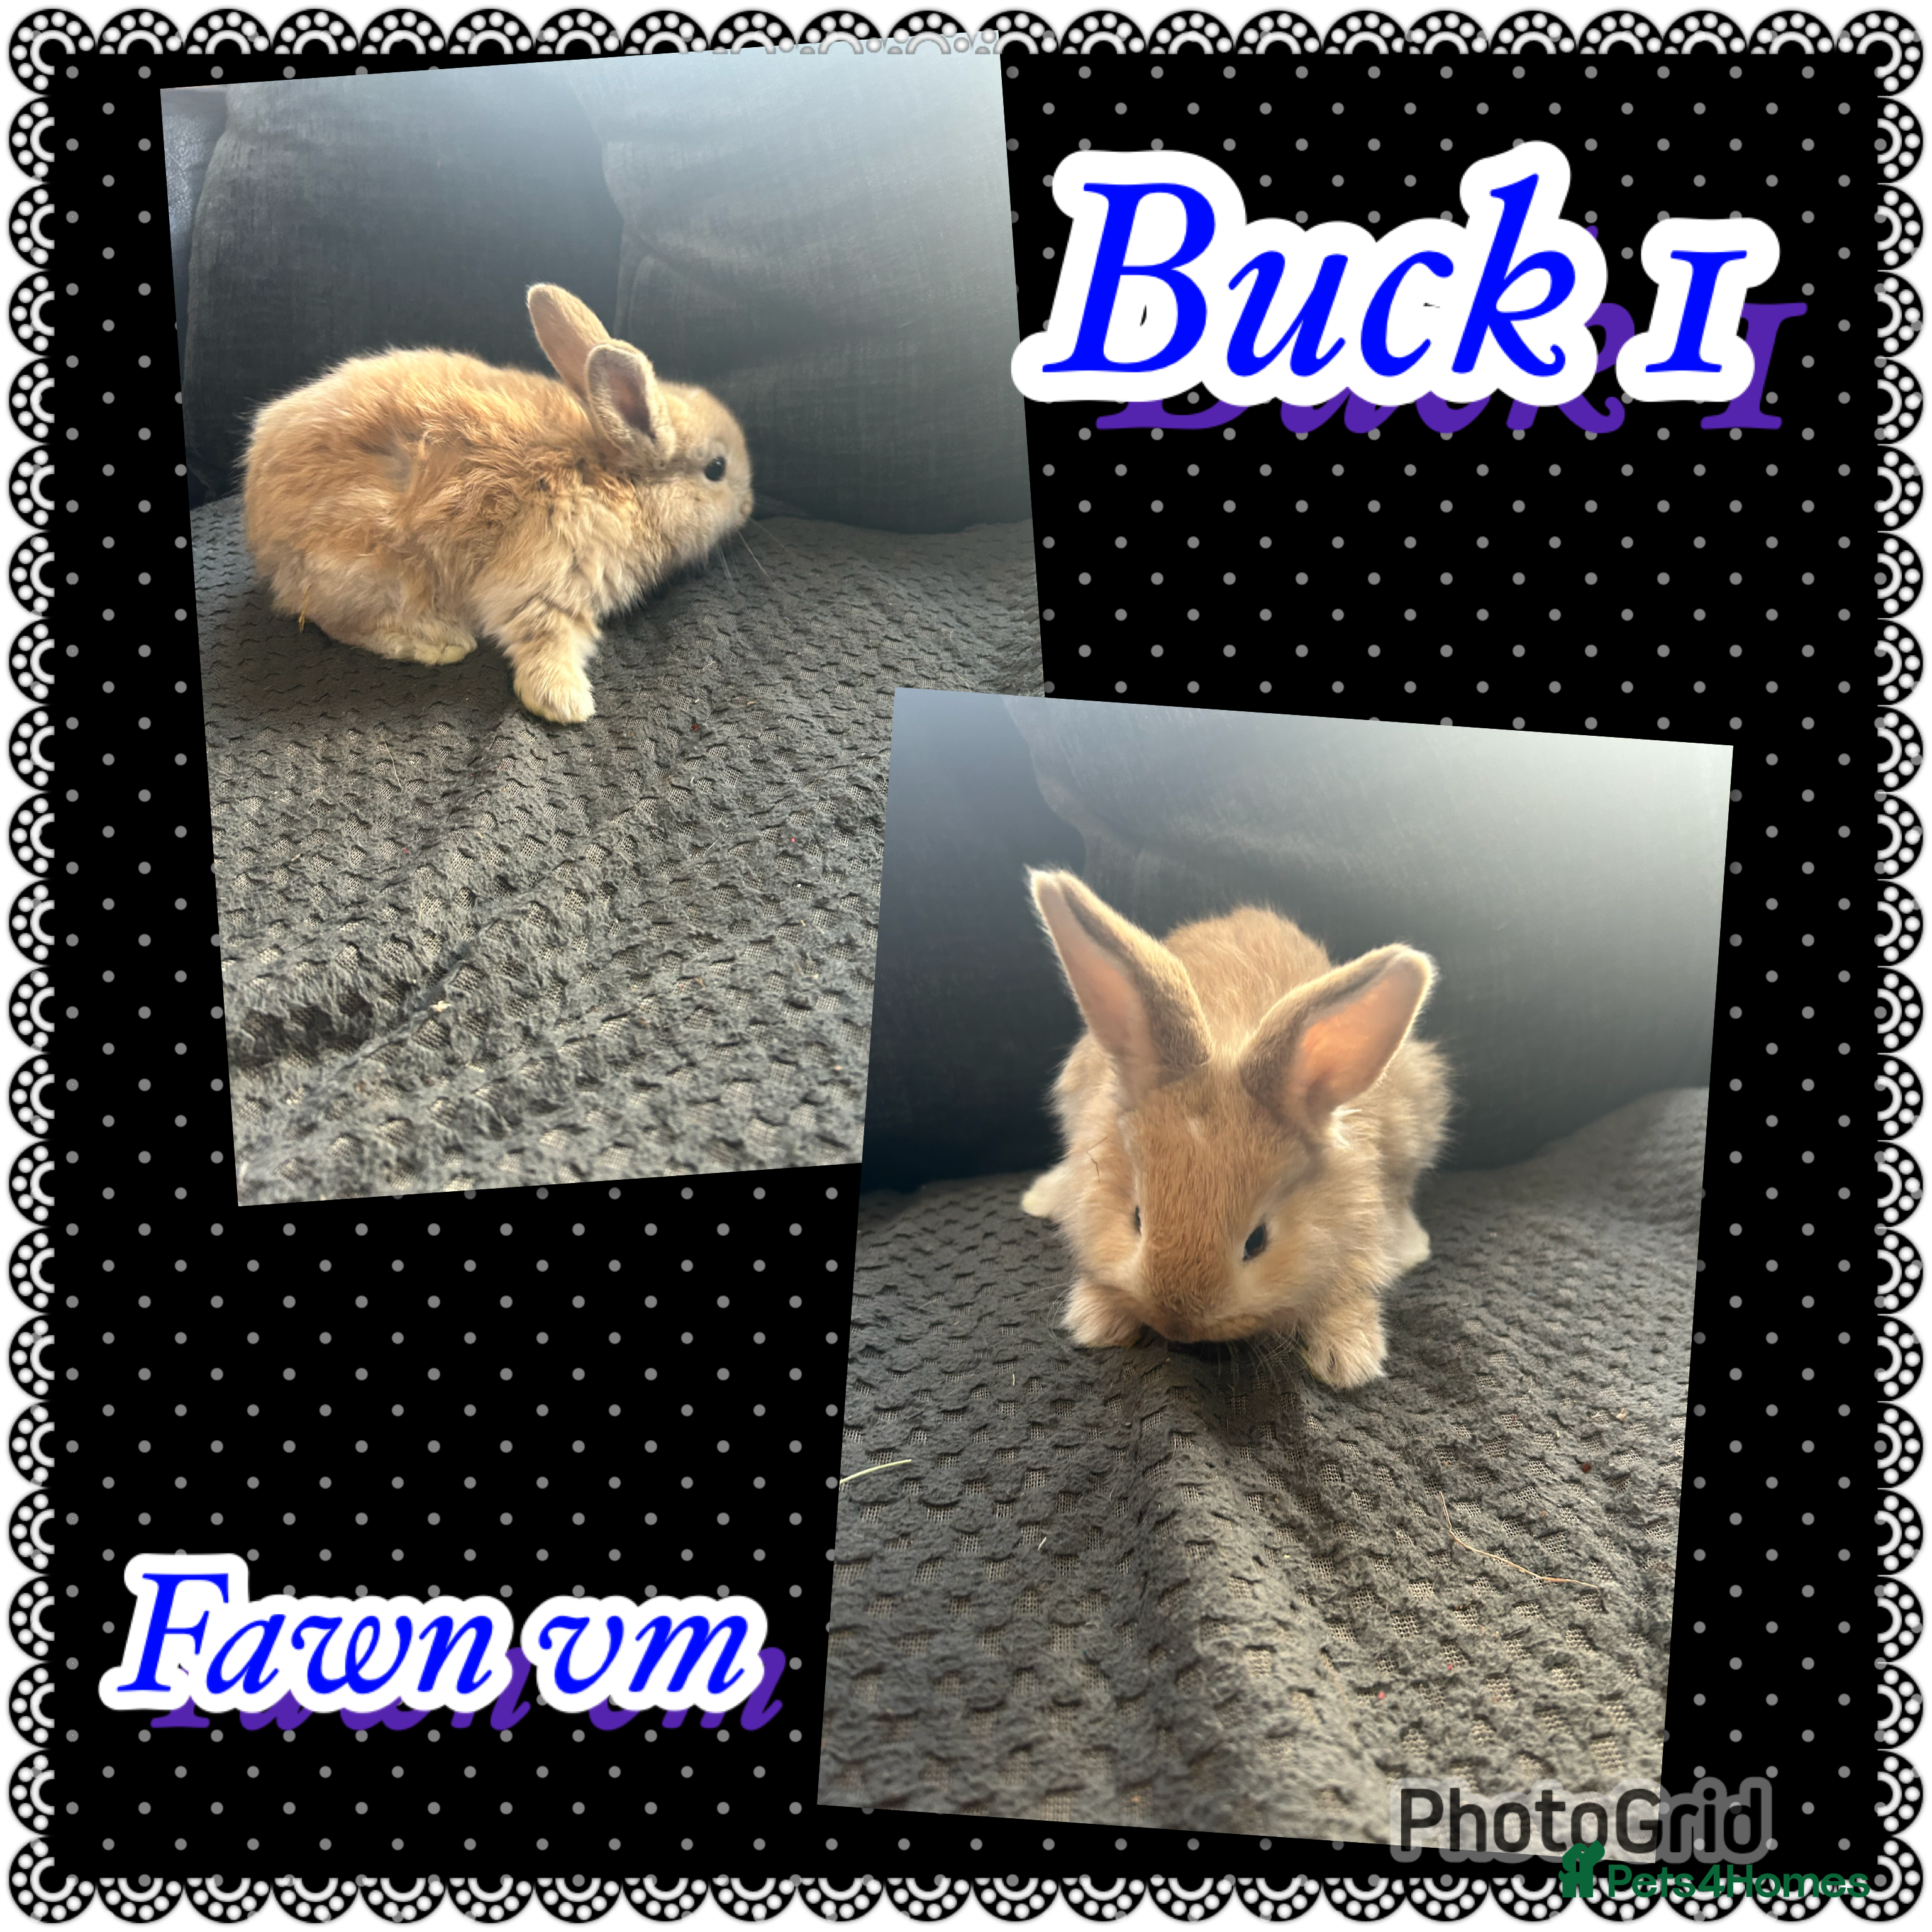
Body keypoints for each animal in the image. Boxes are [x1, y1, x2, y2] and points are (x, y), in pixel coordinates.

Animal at [240, 284, 754, 725]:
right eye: (716, 468)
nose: (749, 506)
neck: (610, 474)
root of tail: (261, 535)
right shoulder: (548, 579)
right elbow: (546, 640)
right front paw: (566, 704)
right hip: (373, 568)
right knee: (335, 621)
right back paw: (438, 643)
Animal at [1021, 870, 1451, 1389]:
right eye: (1137, 1219)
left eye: (1257, 1241)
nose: (1179, 1326)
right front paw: (1095, 1318)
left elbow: (1349, 1290)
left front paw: (1349, 1358)